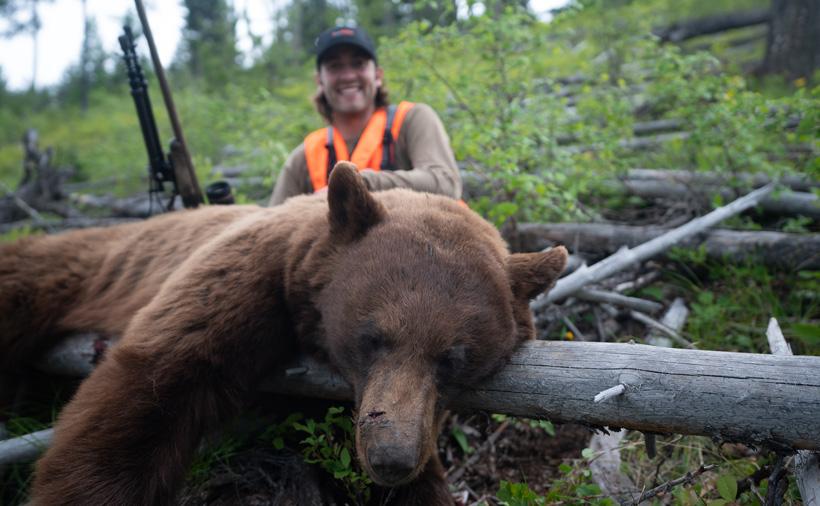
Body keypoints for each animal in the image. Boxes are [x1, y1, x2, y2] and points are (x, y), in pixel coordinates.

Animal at [0, 162, 567, 505]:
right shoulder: (250, 279)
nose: (391, 456)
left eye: (453, 358)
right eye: (372, 336)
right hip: (66, 270)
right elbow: (142, 396)